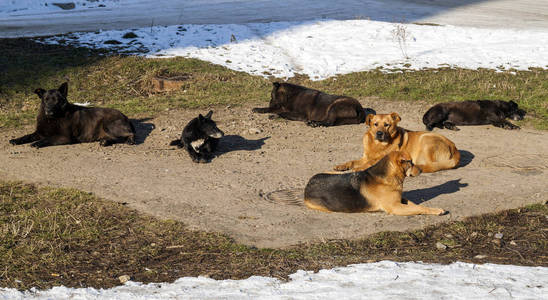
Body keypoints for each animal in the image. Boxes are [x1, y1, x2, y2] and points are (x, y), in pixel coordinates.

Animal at [306, 151, 448, 214]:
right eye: (411, 162)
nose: (422, 170)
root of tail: (308, 185)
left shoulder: (400, 200)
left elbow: (416, 204)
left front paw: (435, 209)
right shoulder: (395, 207)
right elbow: (417, 208)